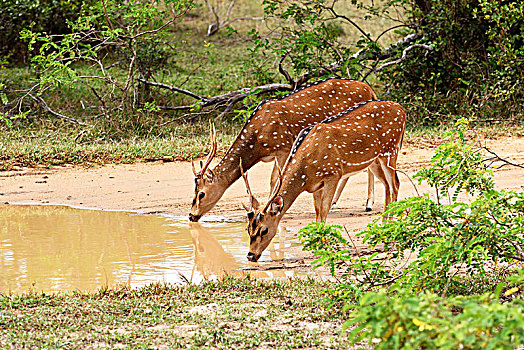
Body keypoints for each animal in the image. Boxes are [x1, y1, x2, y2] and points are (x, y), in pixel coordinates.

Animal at [188, 78, 376, 223]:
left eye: (201, 194)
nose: (191, 216)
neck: (258, 142)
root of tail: (370, 90)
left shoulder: (283, 147)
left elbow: (274, 180)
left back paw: (368, 204)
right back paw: (337, 200)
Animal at [239, 100, 408, 262]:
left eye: (264, 230)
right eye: (248, 229)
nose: (250, 256)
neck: (305, 172)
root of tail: (402, 110)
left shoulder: (333, 173)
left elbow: (325, 209)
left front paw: (324, 245)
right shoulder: (316, 185)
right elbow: (318, 211)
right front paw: (317, 243)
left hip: (391, 149)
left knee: (395, 184)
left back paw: (392, 227)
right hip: (374, 160)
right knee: (387, 185)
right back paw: (384, 225)